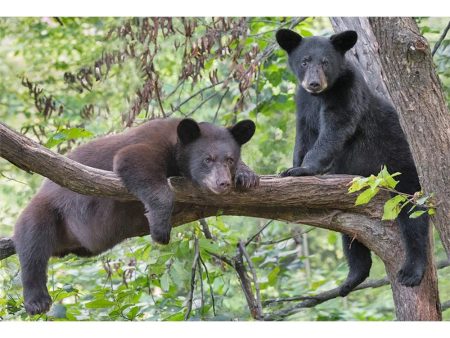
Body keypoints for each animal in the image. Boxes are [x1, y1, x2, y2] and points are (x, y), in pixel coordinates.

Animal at [13, 118, 256, 314]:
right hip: (47, 210)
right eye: (207, 159)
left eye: (230, 159)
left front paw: (247, 175)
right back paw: (37, 300)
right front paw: (160, 228)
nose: (223, 183)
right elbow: (131, 159)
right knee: (33, 245)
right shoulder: (151, 142)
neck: (176, 146)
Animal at [278, 29, 428, 298]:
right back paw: (353, 277)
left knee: (413, 215)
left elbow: (335, 127)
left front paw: (302, 169)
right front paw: (293, 165)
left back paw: (411, 271)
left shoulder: (347, 92)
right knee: (350, 232)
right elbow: (303, 136)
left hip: (403, 168)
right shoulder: (304, 104)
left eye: (325, 62)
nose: (314, 83)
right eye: (304, 61)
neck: (321, 95)